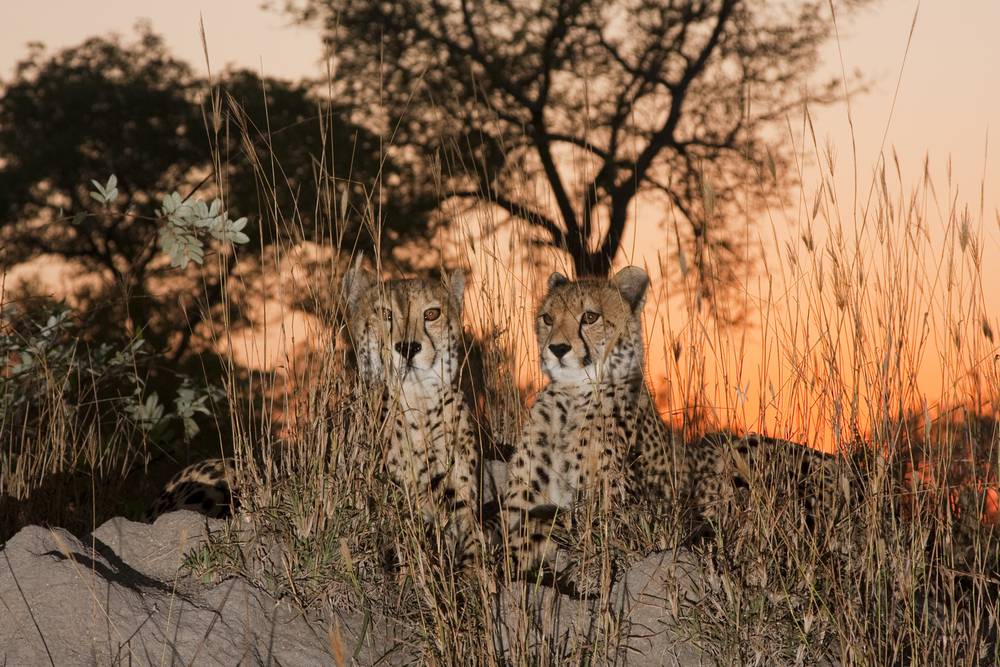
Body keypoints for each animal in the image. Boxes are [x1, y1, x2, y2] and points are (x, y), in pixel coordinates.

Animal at [500, 268, 852, 580]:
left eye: (589, 317)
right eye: (547, 318)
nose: (557, 348)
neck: (571, 398)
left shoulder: (626, 510)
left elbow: (559, 525)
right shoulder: (522, 499)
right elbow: (511, 528)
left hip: (739, 454)